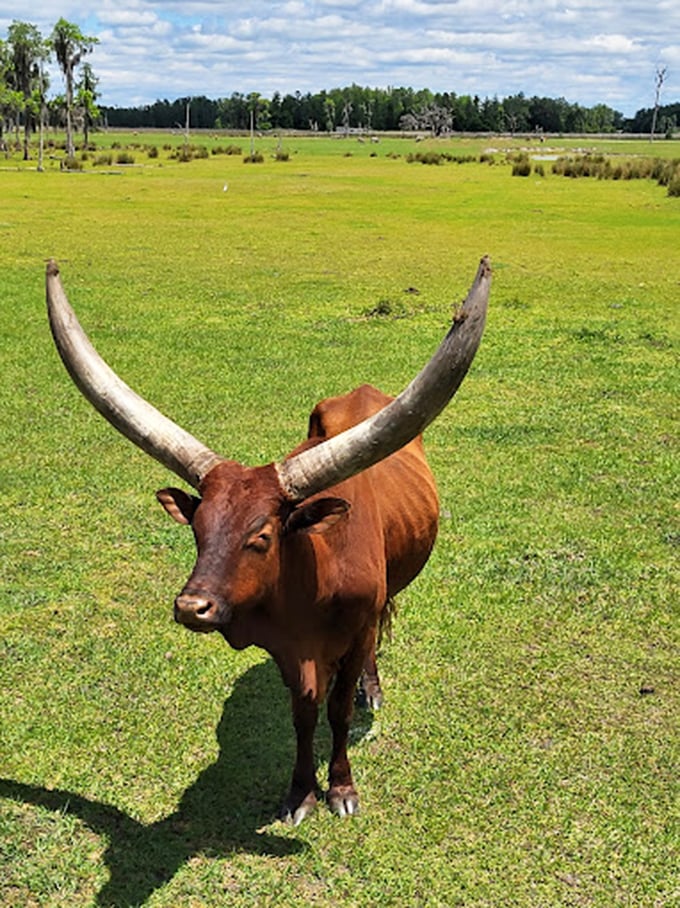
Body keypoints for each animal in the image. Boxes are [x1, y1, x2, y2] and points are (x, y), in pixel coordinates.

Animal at [47, 255, 492, 824]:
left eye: (261, 535)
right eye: (198, 528)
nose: (192, 607)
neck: (314, 579)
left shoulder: (354, 629)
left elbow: (338, 710)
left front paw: (341, 788)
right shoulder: (287, 650)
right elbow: (303, 714)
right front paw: (301, 793)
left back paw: (372, 689)